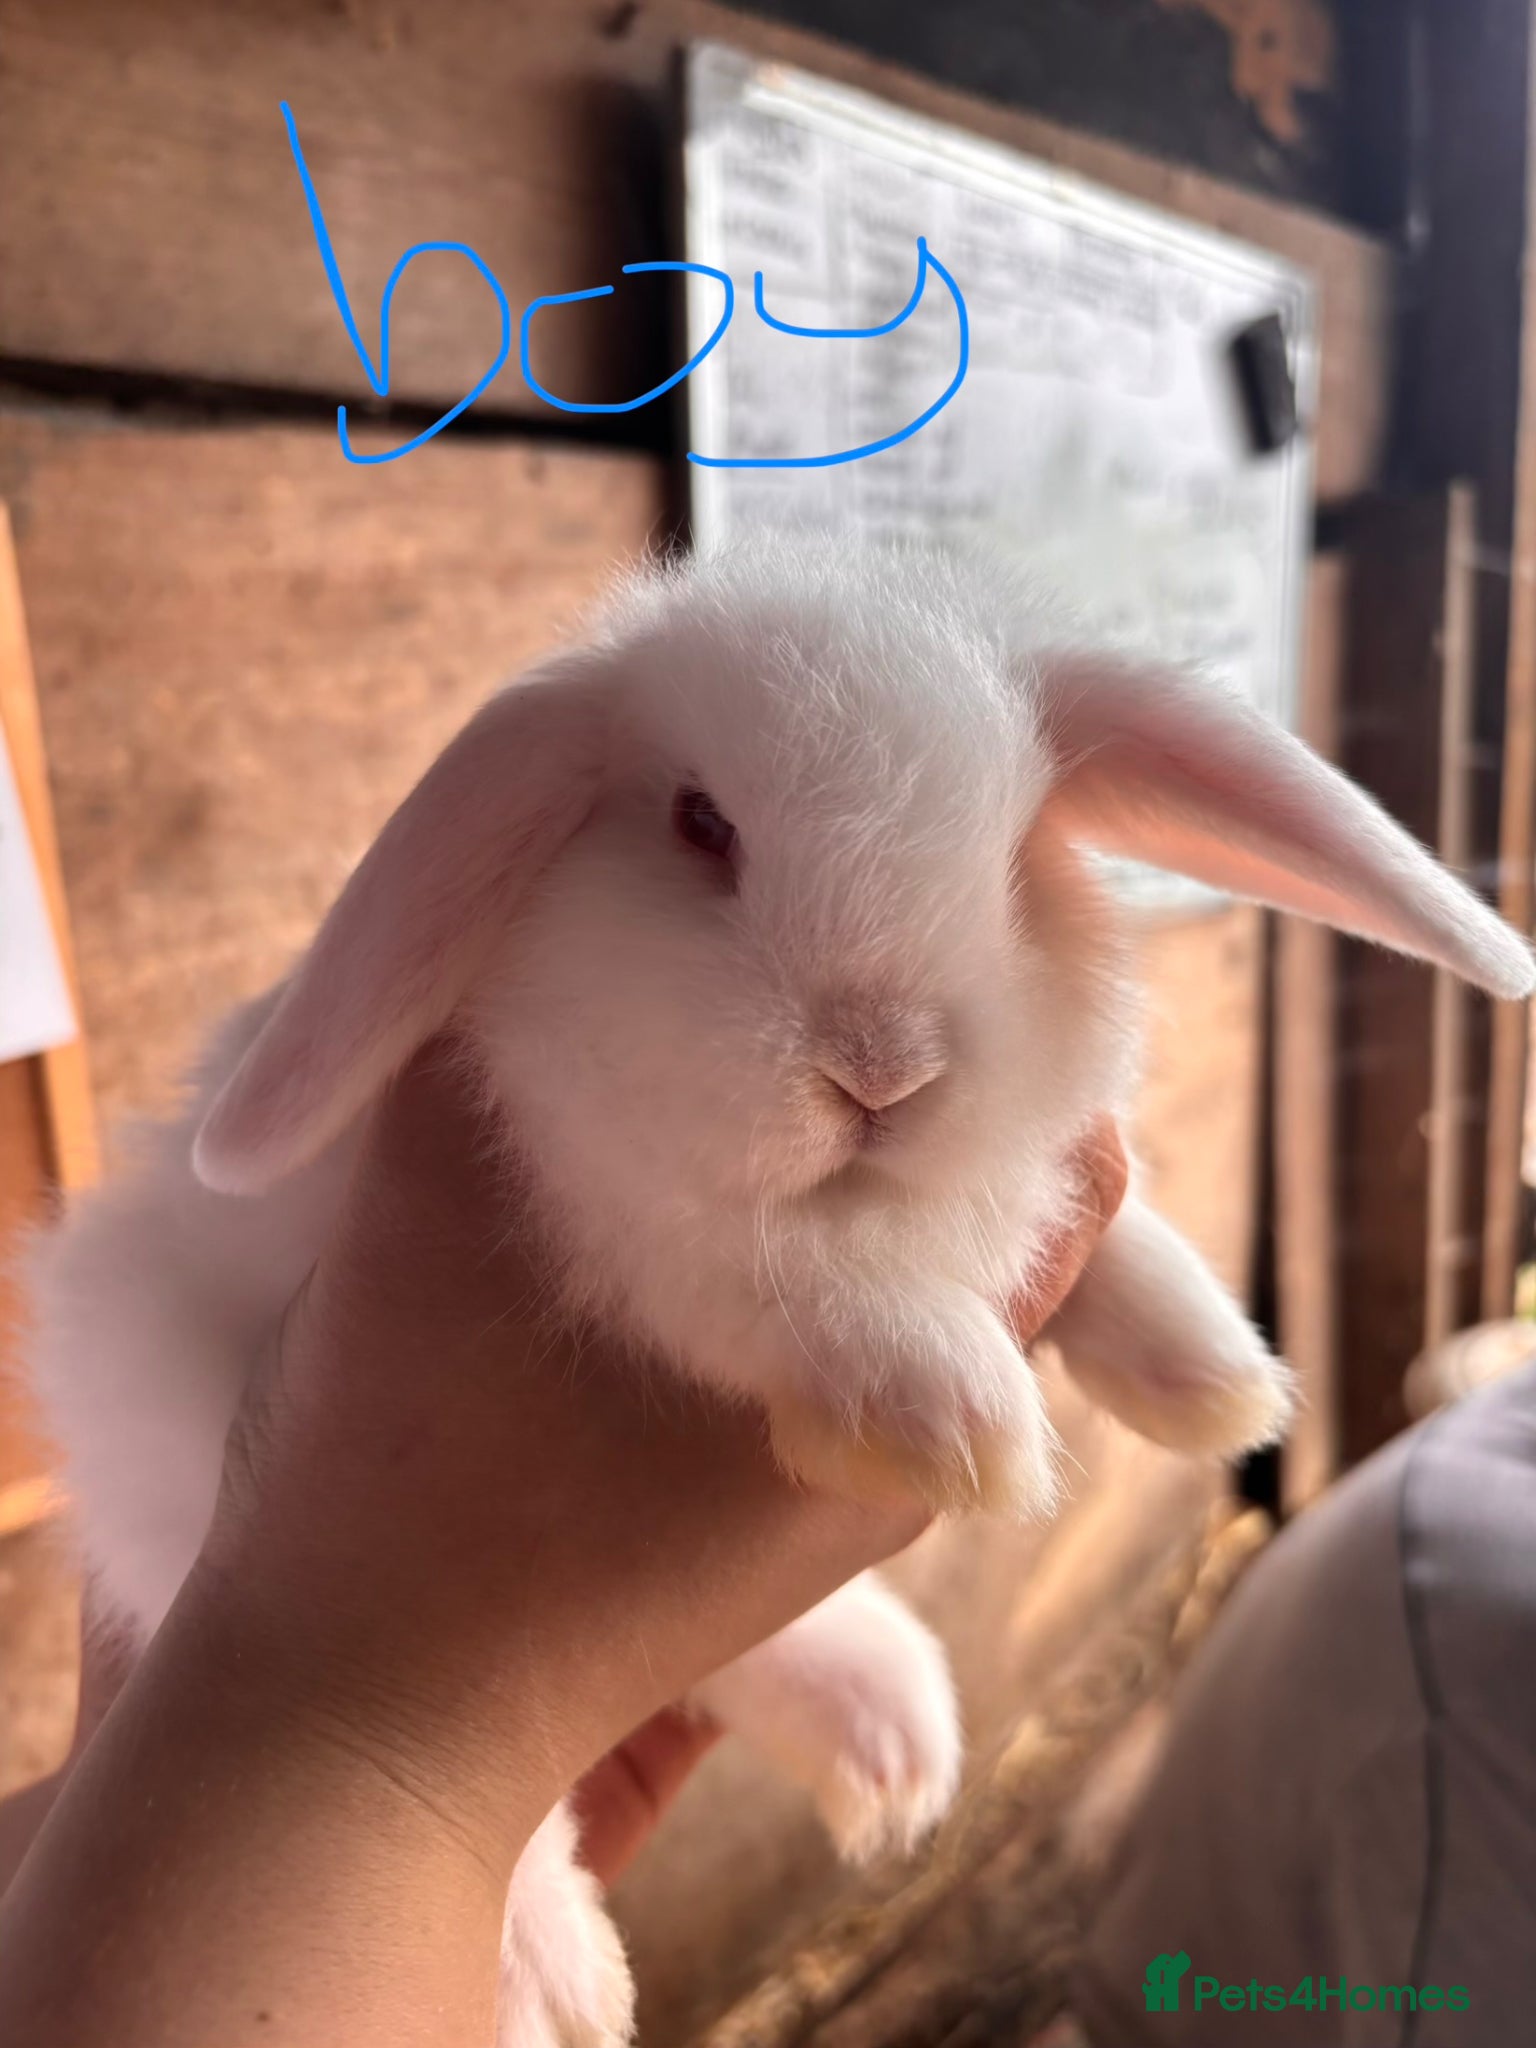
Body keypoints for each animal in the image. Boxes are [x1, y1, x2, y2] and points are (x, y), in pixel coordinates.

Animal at [23, 537, 1534, 2048]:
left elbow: (1088, 1217)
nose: (883, 1070)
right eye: (702, 824)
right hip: (170, 1476)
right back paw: (554, 1971)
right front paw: (954, 1408)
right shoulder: (612, 1203)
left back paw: (887, 1730)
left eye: (1010, 859)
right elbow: (773, 1271)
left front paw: (1212, 1373)